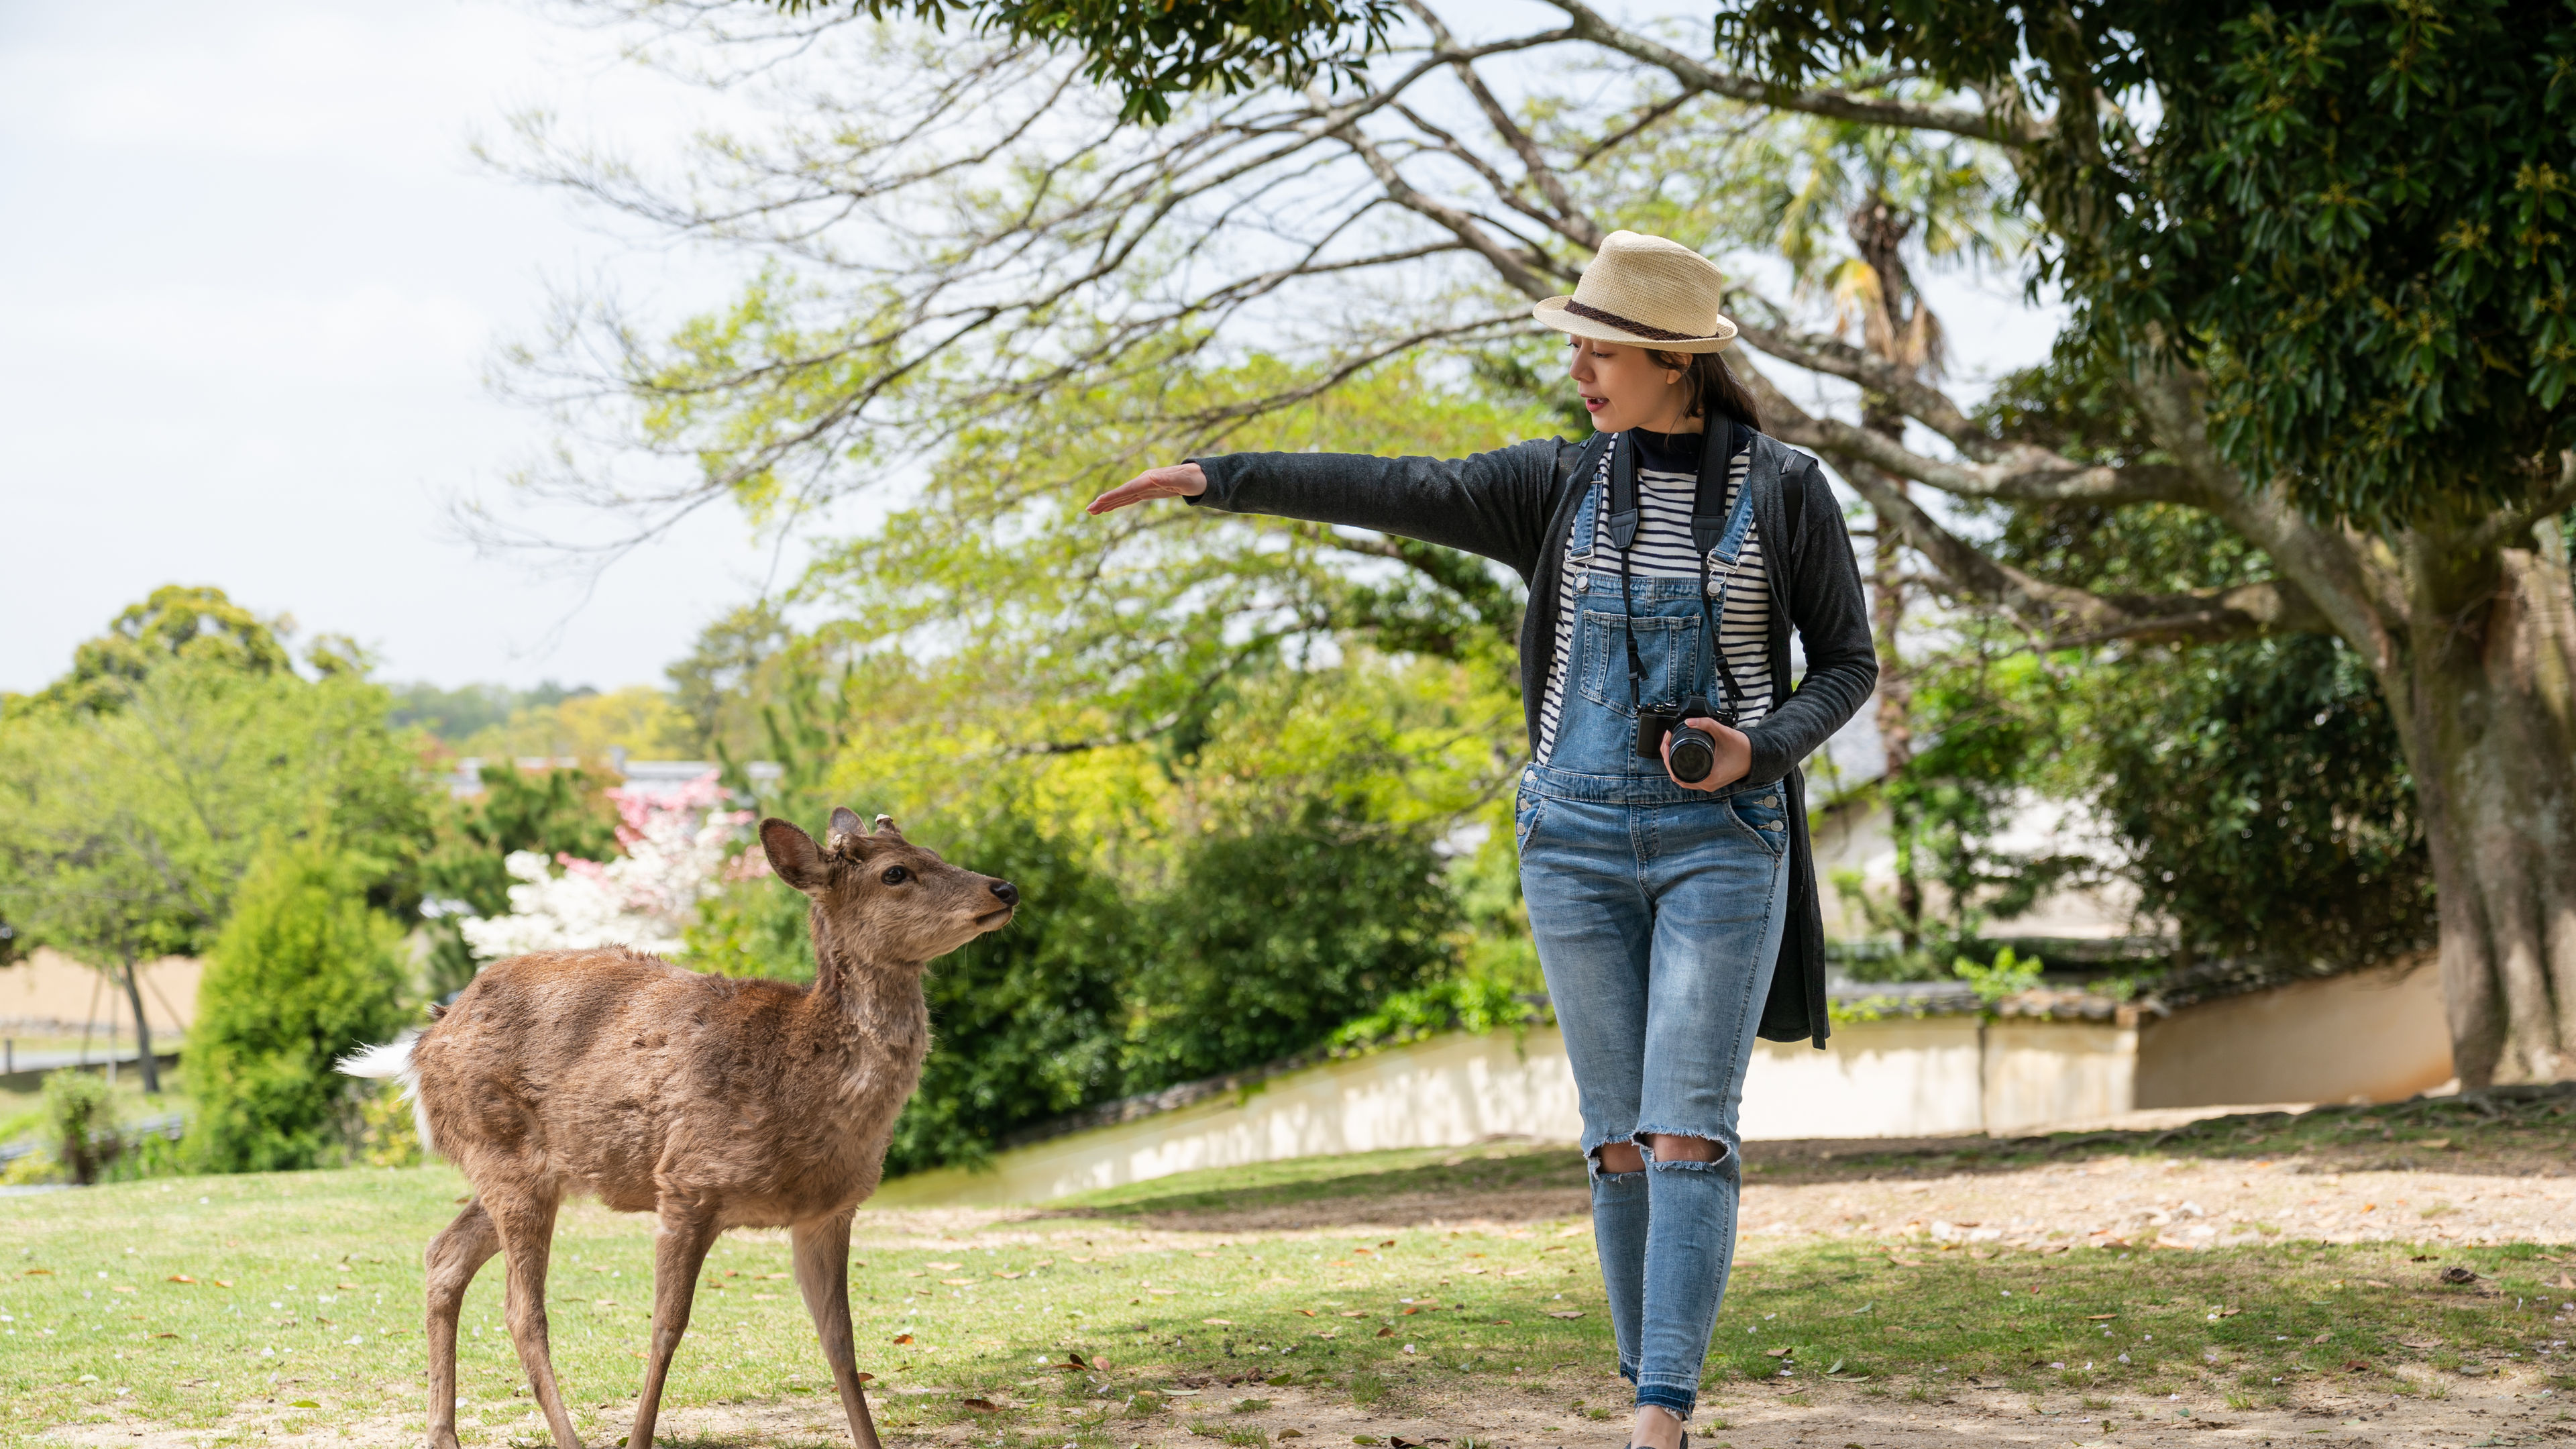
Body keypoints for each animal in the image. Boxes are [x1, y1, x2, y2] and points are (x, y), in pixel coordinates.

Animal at [339, 804, 1014, 1444]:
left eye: (933, 851)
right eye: (896, 873)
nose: (1004, 888)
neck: (805, 1082)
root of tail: (422, 1046)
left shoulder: (830, 1209)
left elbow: (841, 1342)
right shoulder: (687, 1182)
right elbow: (667, 1328)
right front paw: (636, 1439)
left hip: (522, 1169)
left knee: (443, 1254)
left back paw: (443, 1433)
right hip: (503, 1155)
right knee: (521, 1310)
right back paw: (565, 1438)